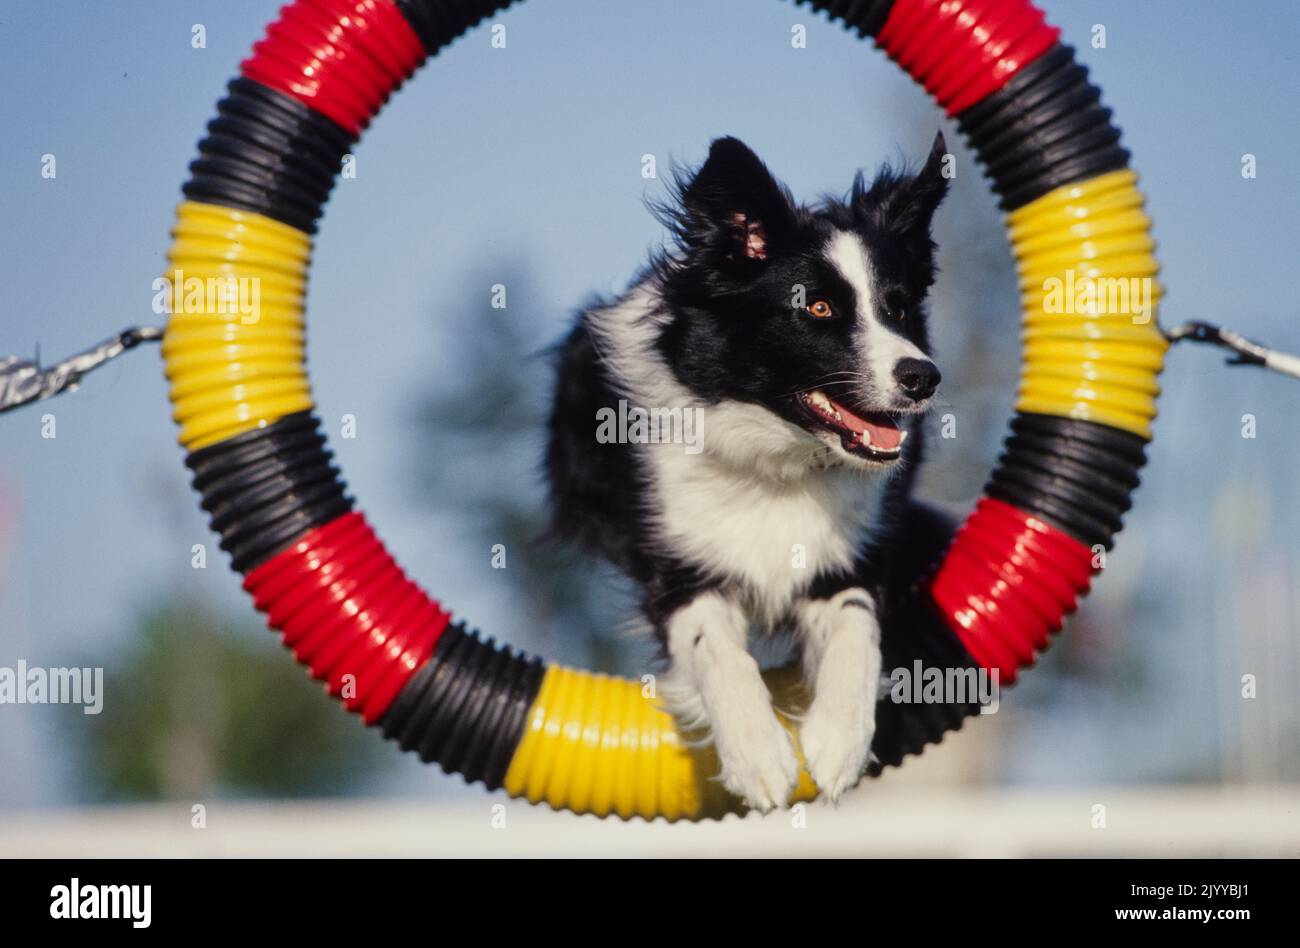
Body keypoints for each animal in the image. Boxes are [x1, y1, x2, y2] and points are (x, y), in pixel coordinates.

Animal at [543, 133, 951, 811]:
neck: (777, 462)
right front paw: (757, 755)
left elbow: (857, 631)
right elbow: (717, 651)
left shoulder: (846, 559)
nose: (922, 377)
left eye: (898, 310)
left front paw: (839, 743)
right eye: (818, 307)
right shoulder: (680, 570)